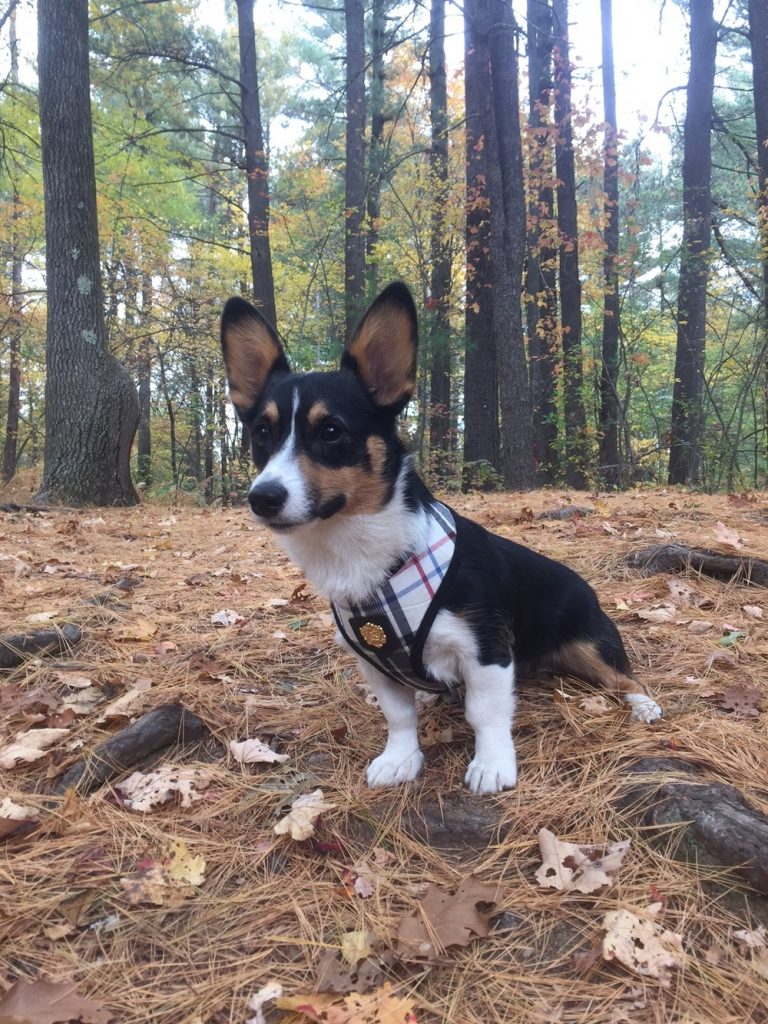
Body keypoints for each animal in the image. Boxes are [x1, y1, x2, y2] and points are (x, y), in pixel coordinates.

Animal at [219, 284, 663, 794]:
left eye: (331, 431)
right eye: (262, 432)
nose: (262, 498)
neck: (360, 548)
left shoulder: (485, 650)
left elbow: (485, 713)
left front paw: (491, 764)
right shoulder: (375, 662)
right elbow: (398, 716)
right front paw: (400, 758)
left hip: (590, 645)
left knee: (624, 679)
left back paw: (644, 705)